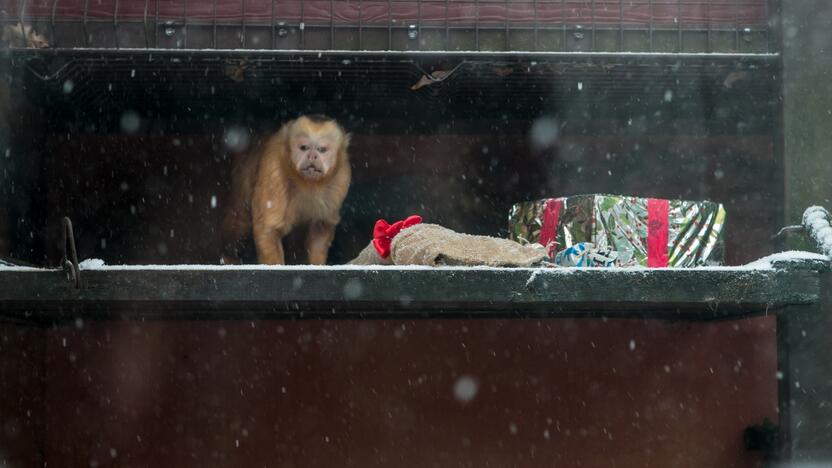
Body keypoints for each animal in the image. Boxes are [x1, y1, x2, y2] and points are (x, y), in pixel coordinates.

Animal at [219, 115, 350, 266]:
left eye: (322, 149)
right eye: (304, 147)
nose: (312, 156)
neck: (307, 184)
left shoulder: (341, 179)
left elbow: (321, 227)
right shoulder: (273, 170)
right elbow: (268, 229)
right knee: (240, 222)